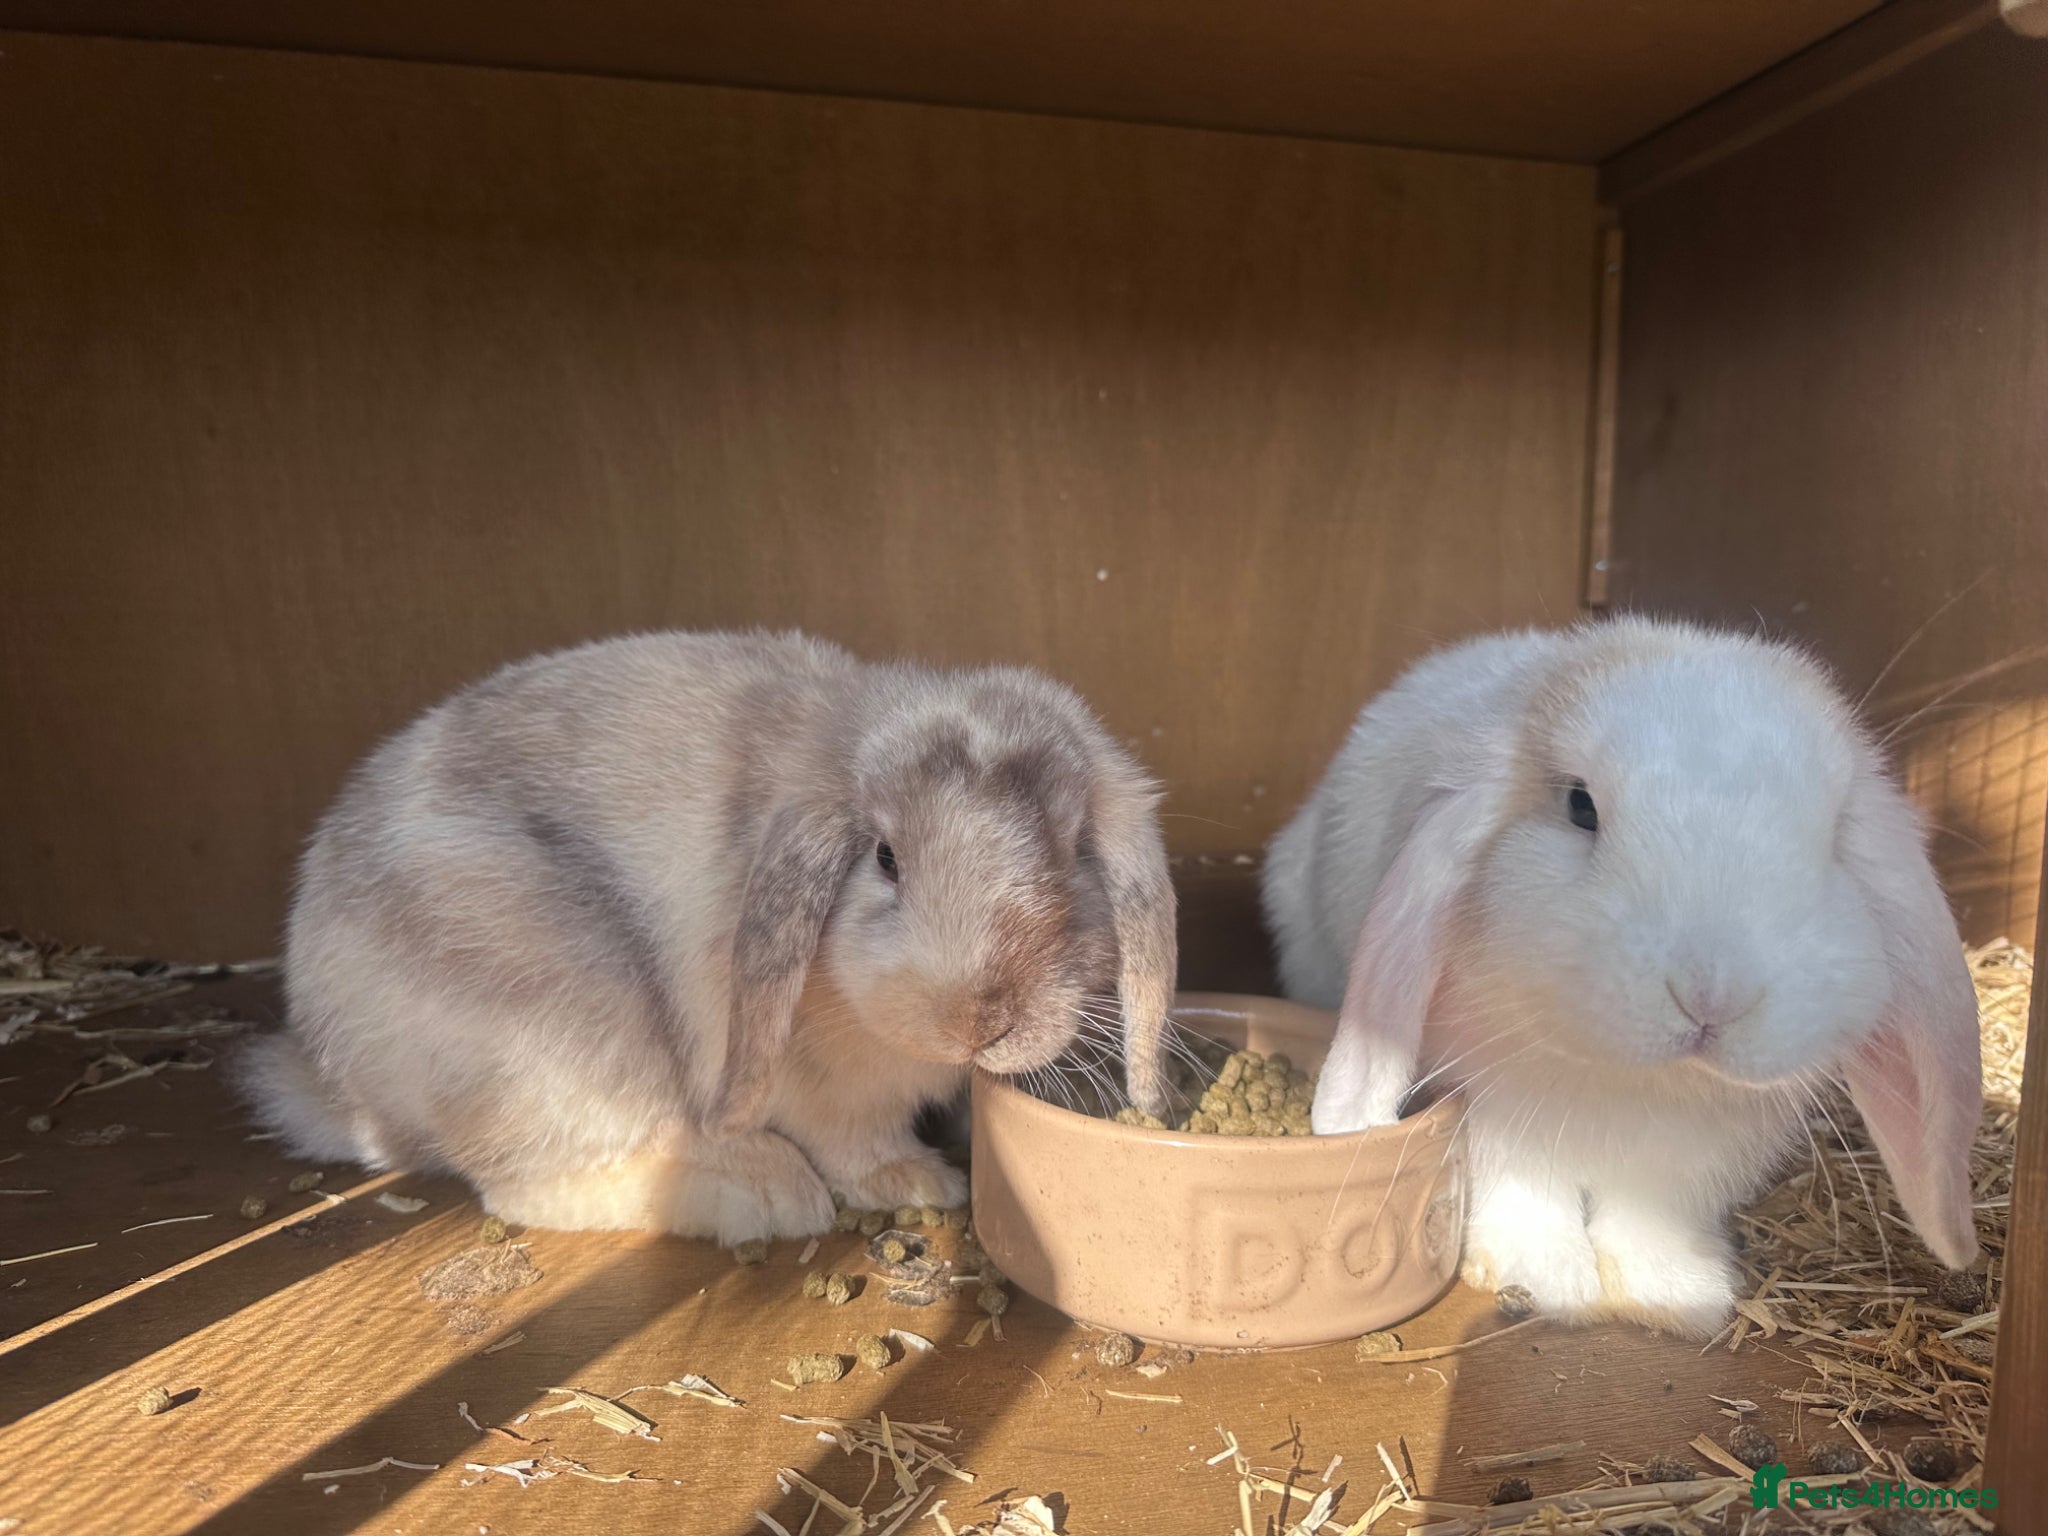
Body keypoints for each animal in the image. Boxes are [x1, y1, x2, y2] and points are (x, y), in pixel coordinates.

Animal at [240, 630, 1176, 1244]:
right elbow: (854, 1140)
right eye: (885, 858)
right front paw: (918, 1181)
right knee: (531, 1182)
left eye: (1073, 852)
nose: (977, 1019)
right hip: (571, 1036)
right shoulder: (821, 1089)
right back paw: (762, 1193)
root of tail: (333, 1075)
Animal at [1262, 617, 1981, 1335]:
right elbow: (1525, 1192)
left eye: (1834, 839)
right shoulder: (1492, 1106)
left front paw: (1672, 1294)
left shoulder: (1692, 1161)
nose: (1712, 996)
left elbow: (1652, 1217)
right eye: (1581, 807)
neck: (1636, 1081)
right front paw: (1546, 1281)